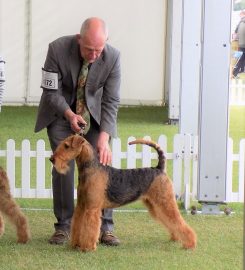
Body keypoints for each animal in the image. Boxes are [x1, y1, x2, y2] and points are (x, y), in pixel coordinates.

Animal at [50, 136, 197, 252]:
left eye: (66, 146)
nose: (52, 159)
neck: (91, 169)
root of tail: (159, 168)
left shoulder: (92, 209)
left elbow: (89, 229)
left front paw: (87, 247)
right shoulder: (81, 206)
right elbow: (78, 225)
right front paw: (75, 244)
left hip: (164, 201)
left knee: (178, 221)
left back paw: (190, 243)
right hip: (155, 204)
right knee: (171, 221)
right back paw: (176, 238)